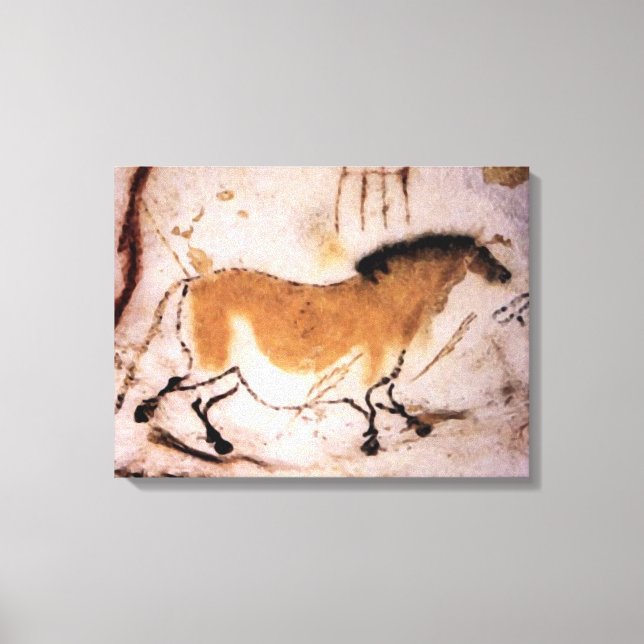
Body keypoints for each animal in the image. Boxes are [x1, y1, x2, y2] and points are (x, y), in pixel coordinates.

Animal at [118, 233, 511, 457]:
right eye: (482, 254)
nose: (507, 276)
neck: (389, 301)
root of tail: (191, 282)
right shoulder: (370, 370)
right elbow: (373, 407)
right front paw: (372, 442)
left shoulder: (380, 373)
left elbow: (387, 402)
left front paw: (416, 426)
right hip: (210, 364)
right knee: (178, 387)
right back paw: (148, 416)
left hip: (228, 373)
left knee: (198, 401)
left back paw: (218, 441)